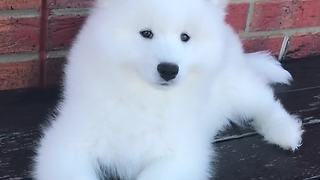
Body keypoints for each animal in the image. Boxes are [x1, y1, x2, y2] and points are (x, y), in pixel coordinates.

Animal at [33, 0, 304, 179]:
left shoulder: (178, 155)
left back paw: (286, 132)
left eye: (185, 37)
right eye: (146, 33)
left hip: (236, 87)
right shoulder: (68, 142)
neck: (143, 97)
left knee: (265, 102)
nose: (168, 69)